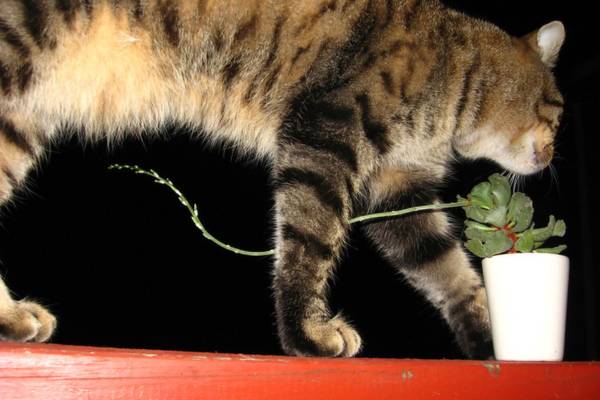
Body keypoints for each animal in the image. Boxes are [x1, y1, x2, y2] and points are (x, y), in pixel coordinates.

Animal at [0, 0, 564, 356]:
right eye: (560, 115)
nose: (555, 154)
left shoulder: (399, 188)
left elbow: (450, 271)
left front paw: (489, 338)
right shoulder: (324, 136)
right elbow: (308, 246)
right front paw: (306, 335)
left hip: (22, 118)